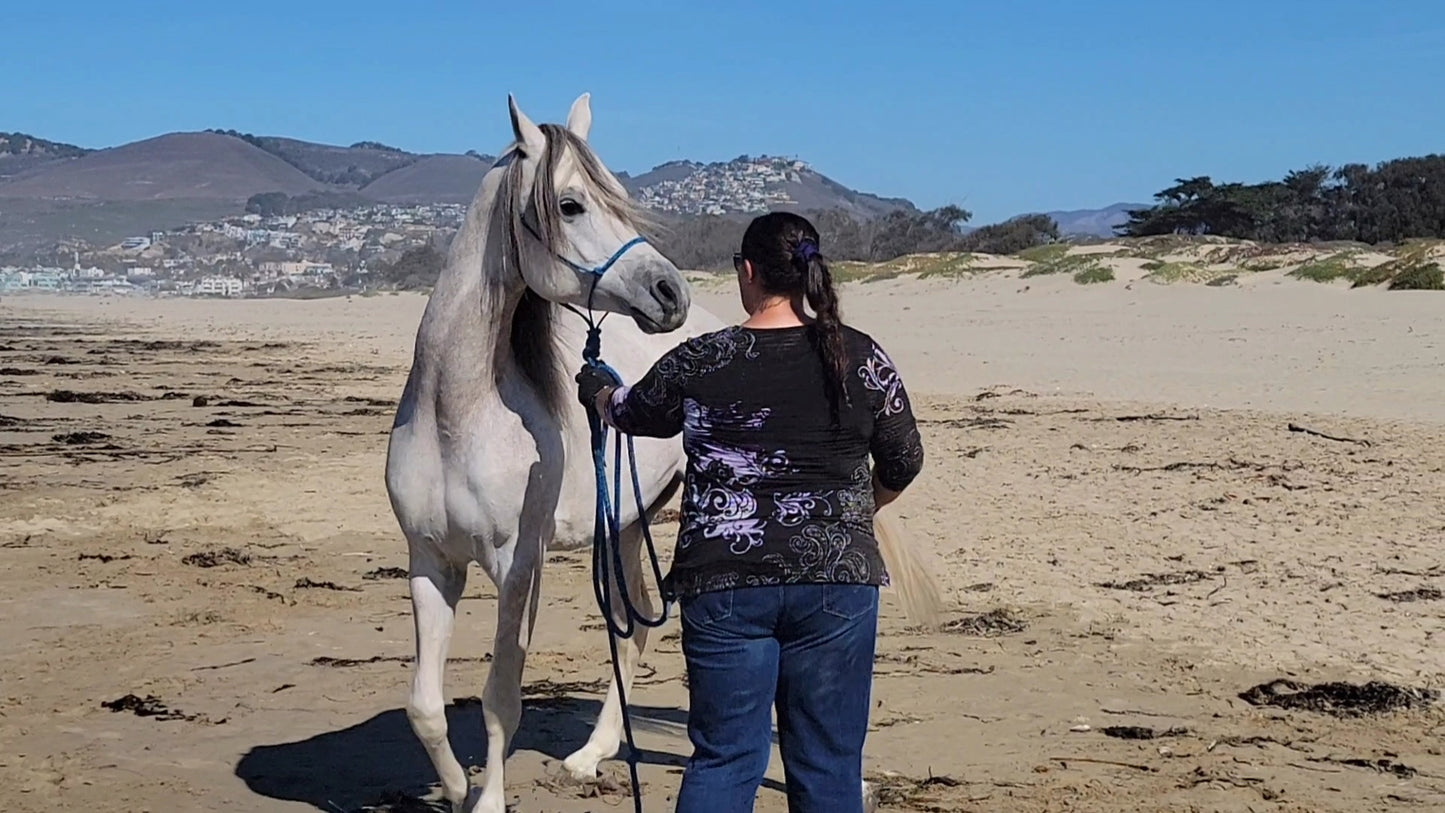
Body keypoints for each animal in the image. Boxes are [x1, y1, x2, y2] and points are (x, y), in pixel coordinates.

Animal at [383, 93, 725, 813]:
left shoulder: (519, 568)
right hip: (626, 523)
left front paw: (486, 800)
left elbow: (500, 700)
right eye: (570, 204)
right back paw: (591, 755)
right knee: (634, 620)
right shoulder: (430, 561)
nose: (669, 293)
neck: (457, 415)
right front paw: (455, 790)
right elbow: (424, 706)